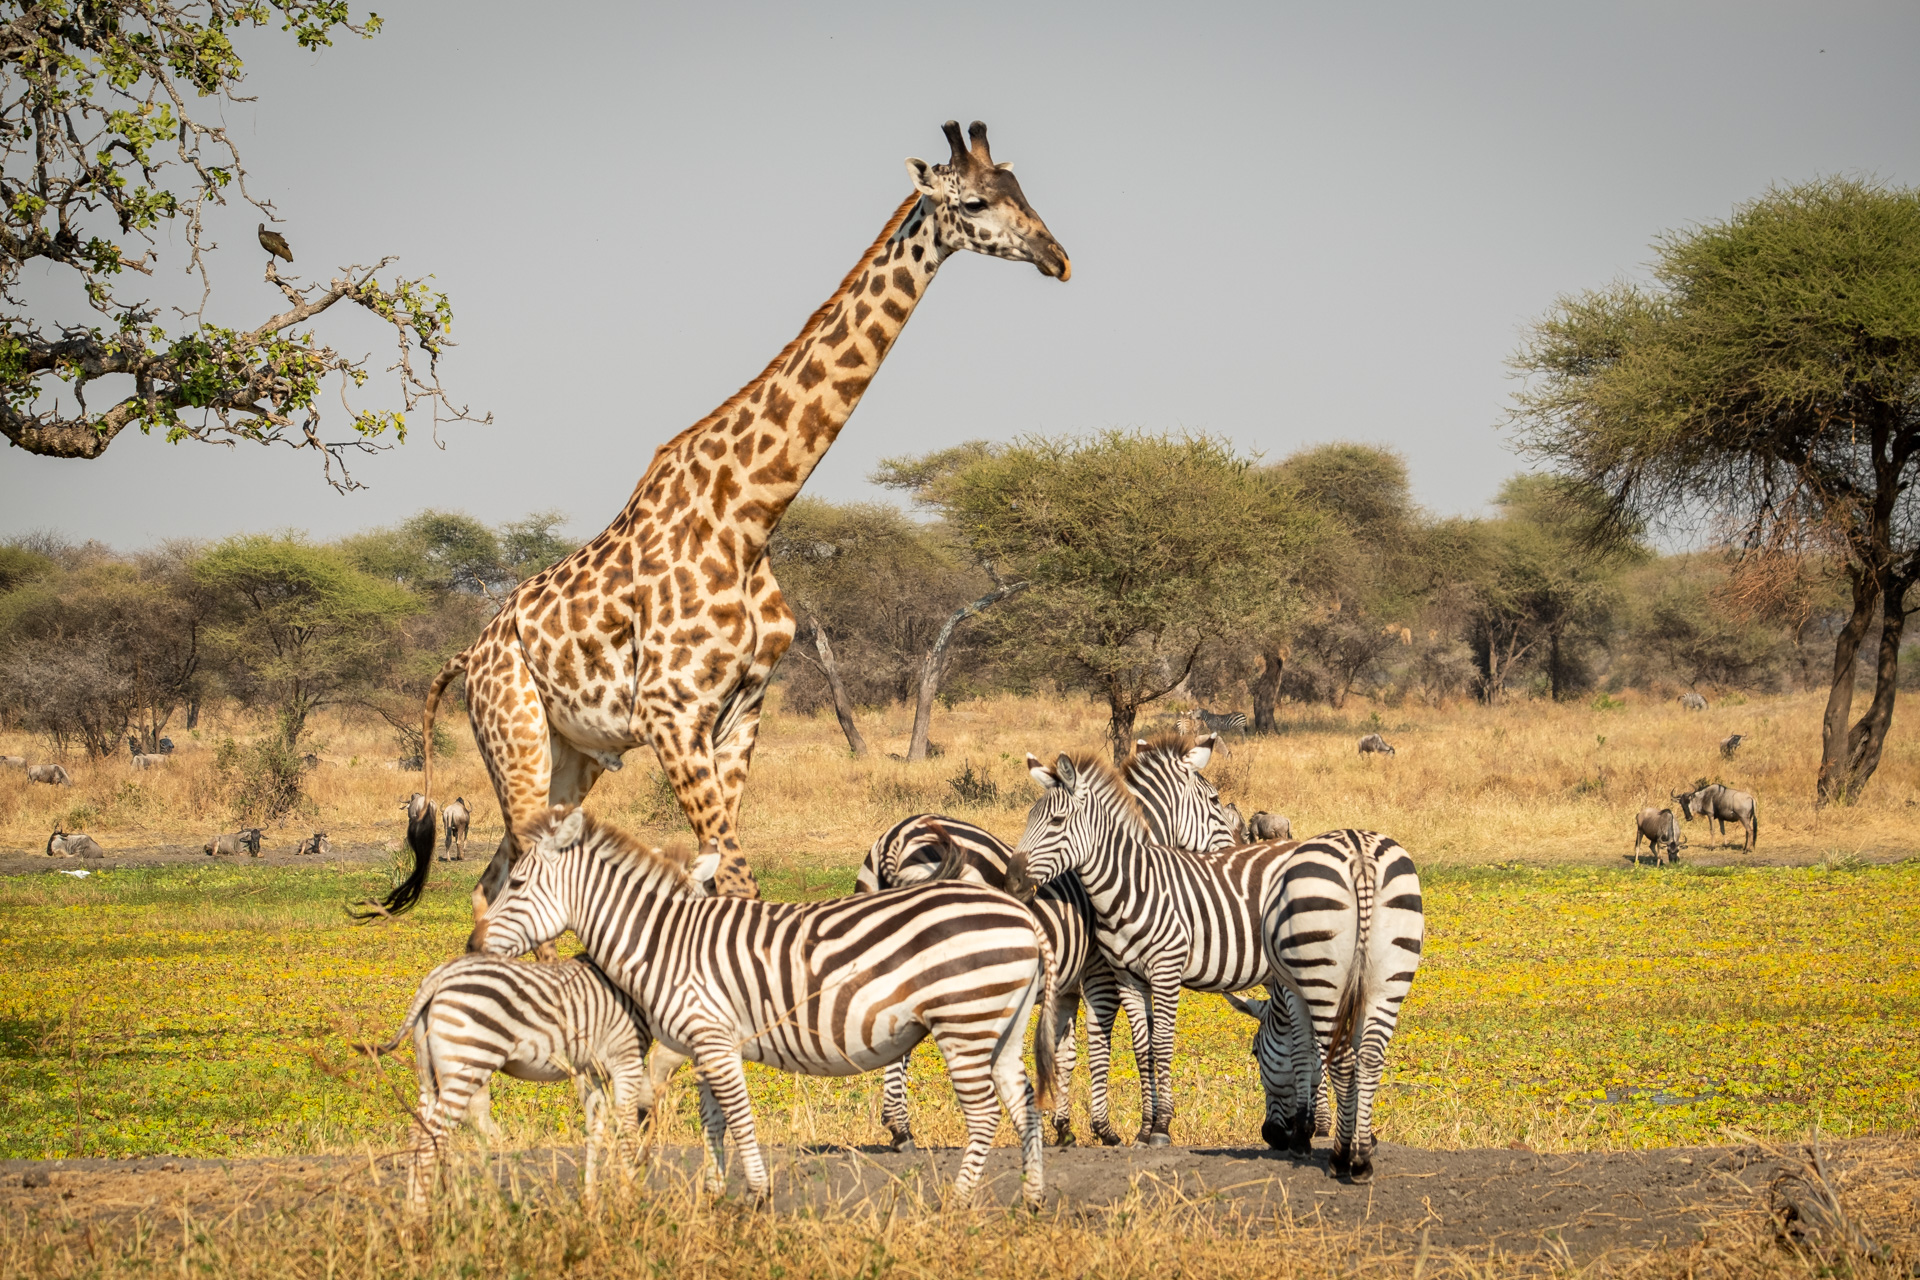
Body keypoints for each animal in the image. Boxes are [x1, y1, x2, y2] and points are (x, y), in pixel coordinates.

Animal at [362, 122, 1067, 921]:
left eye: (1021, 190)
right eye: (974, 201)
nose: (1057, 257)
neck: (749, 516)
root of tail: (466, 656)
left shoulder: (739, 714)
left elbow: (724, 884)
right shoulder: (670, 715)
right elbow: (734, 882)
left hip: (570, 753)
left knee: (496, 879)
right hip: (516, 736)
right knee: (507, 879)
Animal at [362, 951, 656, 1212]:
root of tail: (438, 978)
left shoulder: (594, 1069)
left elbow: (596, 1128)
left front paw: (592, 1202)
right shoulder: (623, 1058)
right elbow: (625, 1128)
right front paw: (629, 1202)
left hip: (429, 1073)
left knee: (418, 1131)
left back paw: (418, 1210)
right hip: (466, 1064)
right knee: (433, 1138)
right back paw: (425, 1220)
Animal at [470, 809, 1059, 1212]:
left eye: (516, 884)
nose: (473, 946)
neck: (664, 941)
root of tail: (1022, 915)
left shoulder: (711, 1038)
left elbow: (737, 1115)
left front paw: (755, 1192)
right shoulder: (704, 1041)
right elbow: (711, 1118)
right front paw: (713, 1192)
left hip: (964, 1022)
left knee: (984, 1114)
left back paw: (956, 1202)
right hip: (1001, 1027)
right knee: (1023, 1101)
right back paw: (1032, 1198)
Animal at [860, 729, 1244, 1151]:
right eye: (1214, 800)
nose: (1235, 852)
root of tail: (899, 835)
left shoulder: (1065, 985)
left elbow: (1065, 1052)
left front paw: (1064, 1127)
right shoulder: (1100, 975)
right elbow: (1099, 1045)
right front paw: (1104, 1129)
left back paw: (898, 1126)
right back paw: (901, 1129)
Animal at [1006, 752, 1428, 1182]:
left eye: (1056, 822)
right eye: (1029, 818)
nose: (1013, 881)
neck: (1133, 885)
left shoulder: (1161, 970)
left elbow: (1159, 1045)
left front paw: (1158, 1128)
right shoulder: (1128, 977)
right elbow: (1141, 1050)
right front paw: (1143, 1129)